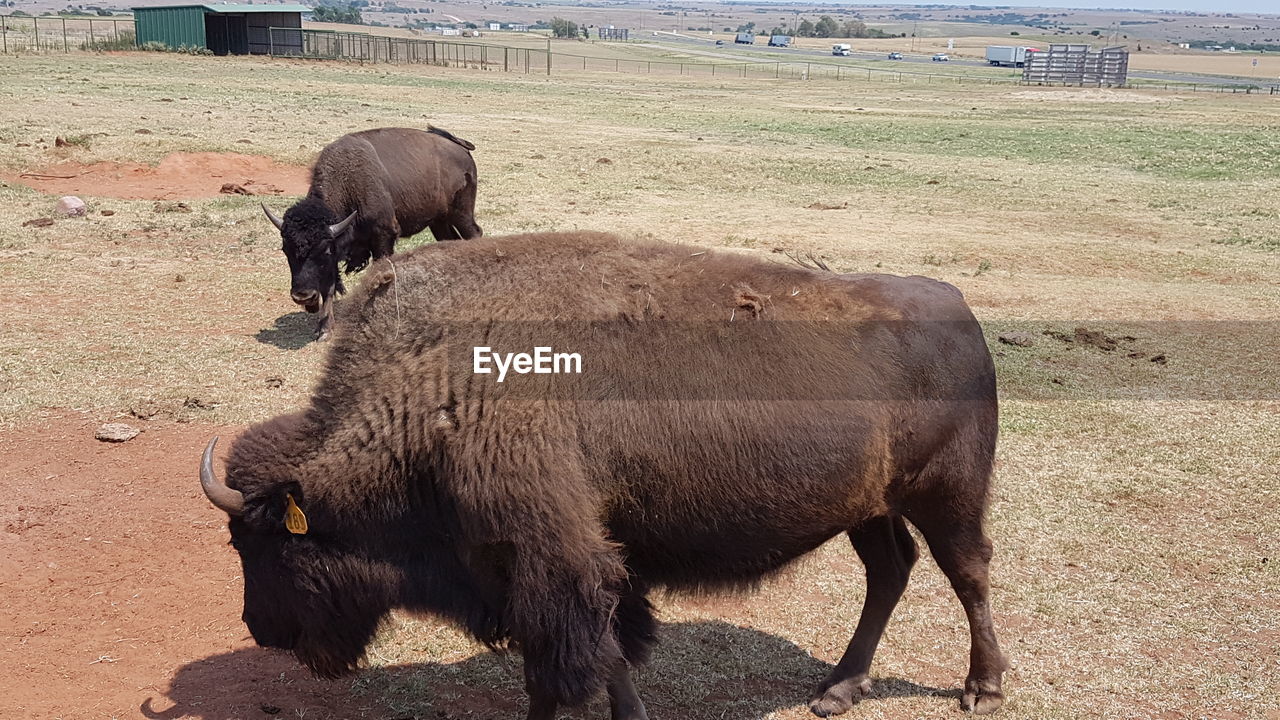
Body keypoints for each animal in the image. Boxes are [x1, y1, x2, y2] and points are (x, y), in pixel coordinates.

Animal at [197, 233, 1008, 712]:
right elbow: (596, 657)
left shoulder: (559, 567)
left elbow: (574, 663)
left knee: (968, 573)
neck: (428, 385)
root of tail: (958, 306)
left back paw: (983, 687)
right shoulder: (557, 571)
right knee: (891, 570)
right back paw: (837, 689)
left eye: (267, 542)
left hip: (949, 495)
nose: (261, 629)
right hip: (870, 505)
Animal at [262, 126, 481, 338]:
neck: (348, 182)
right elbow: (330, 286)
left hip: (461, 214)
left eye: (324, 250)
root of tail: (460, 147)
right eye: (286, 250)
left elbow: (381, 274)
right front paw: (324, 329)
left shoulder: (382, 237)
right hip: (439, 221)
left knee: (474, 234)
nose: (303, 296)